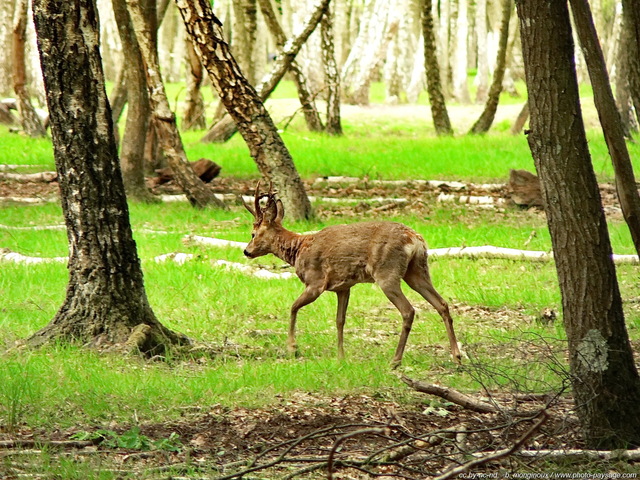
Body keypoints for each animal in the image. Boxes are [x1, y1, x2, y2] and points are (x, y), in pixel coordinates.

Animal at [244, 182, 460, 366]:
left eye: (253, 234)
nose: (246, 251)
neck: (299, 249)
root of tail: (415, 240)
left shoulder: (316, 282)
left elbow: (293, 307)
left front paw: (292, 348)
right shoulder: (344, 287)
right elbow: (340, 320)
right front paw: (341, 357)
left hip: (387, 271)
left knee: (408, 310)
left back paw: (396, 360)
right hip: (417, 270)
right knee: (442, 304)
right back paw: (456, 356)